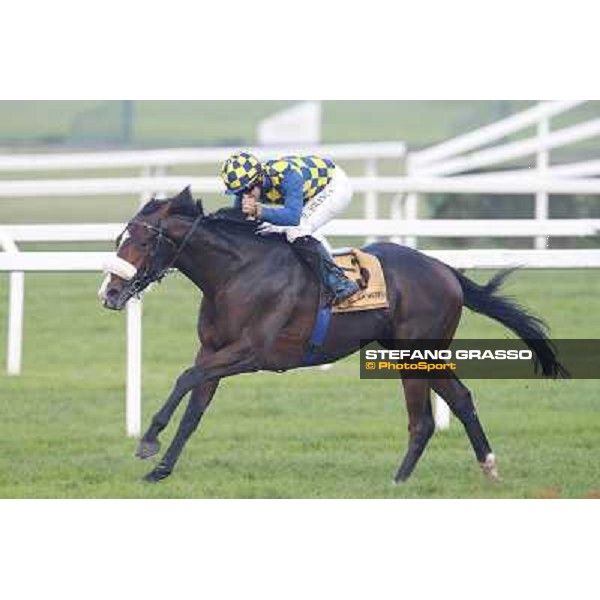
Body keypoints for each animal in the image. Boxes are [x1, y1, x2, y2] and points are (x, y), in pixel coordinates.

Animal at [99, 188, 568, 482]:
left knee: (431, 414)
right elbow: (195, 408)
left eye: (142, 243)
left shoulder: (252, 353)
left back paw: (411, 478)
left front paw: (148, 440)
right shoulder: (213, 349)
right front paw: (160, 469)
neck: (236, 273)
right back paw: (466, 470)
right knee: (451, 404)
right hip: (415, 353)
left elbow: (185, 378)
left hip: (416, 352)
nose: (110, 293)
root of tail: (445, 270)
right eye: (120, 238)